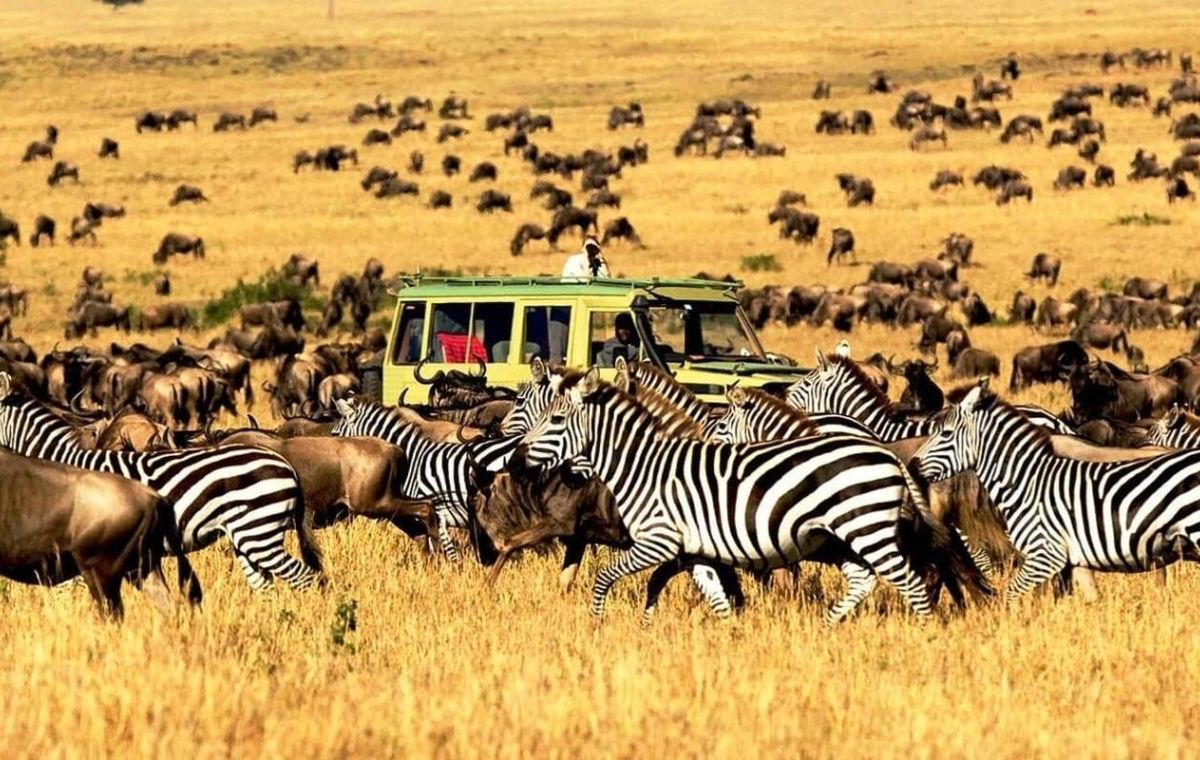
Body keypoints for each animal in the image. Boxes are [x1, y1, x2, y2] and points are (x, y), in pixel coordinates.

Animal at [514, 368, 987, 623]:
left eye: (555, 419)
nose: (516, 460)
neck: (643, 466)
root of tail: (886, 453)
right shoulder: (695, 550)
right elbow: (716, 597)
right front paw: (731, 636)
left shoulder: (659, 541)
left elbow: (605, 577)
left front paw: (596, 625)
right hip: (846, 535)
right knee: (868, 578)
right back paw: (828, 627)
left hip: (864, 527)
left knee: (912, 581)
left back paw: (923, 631)